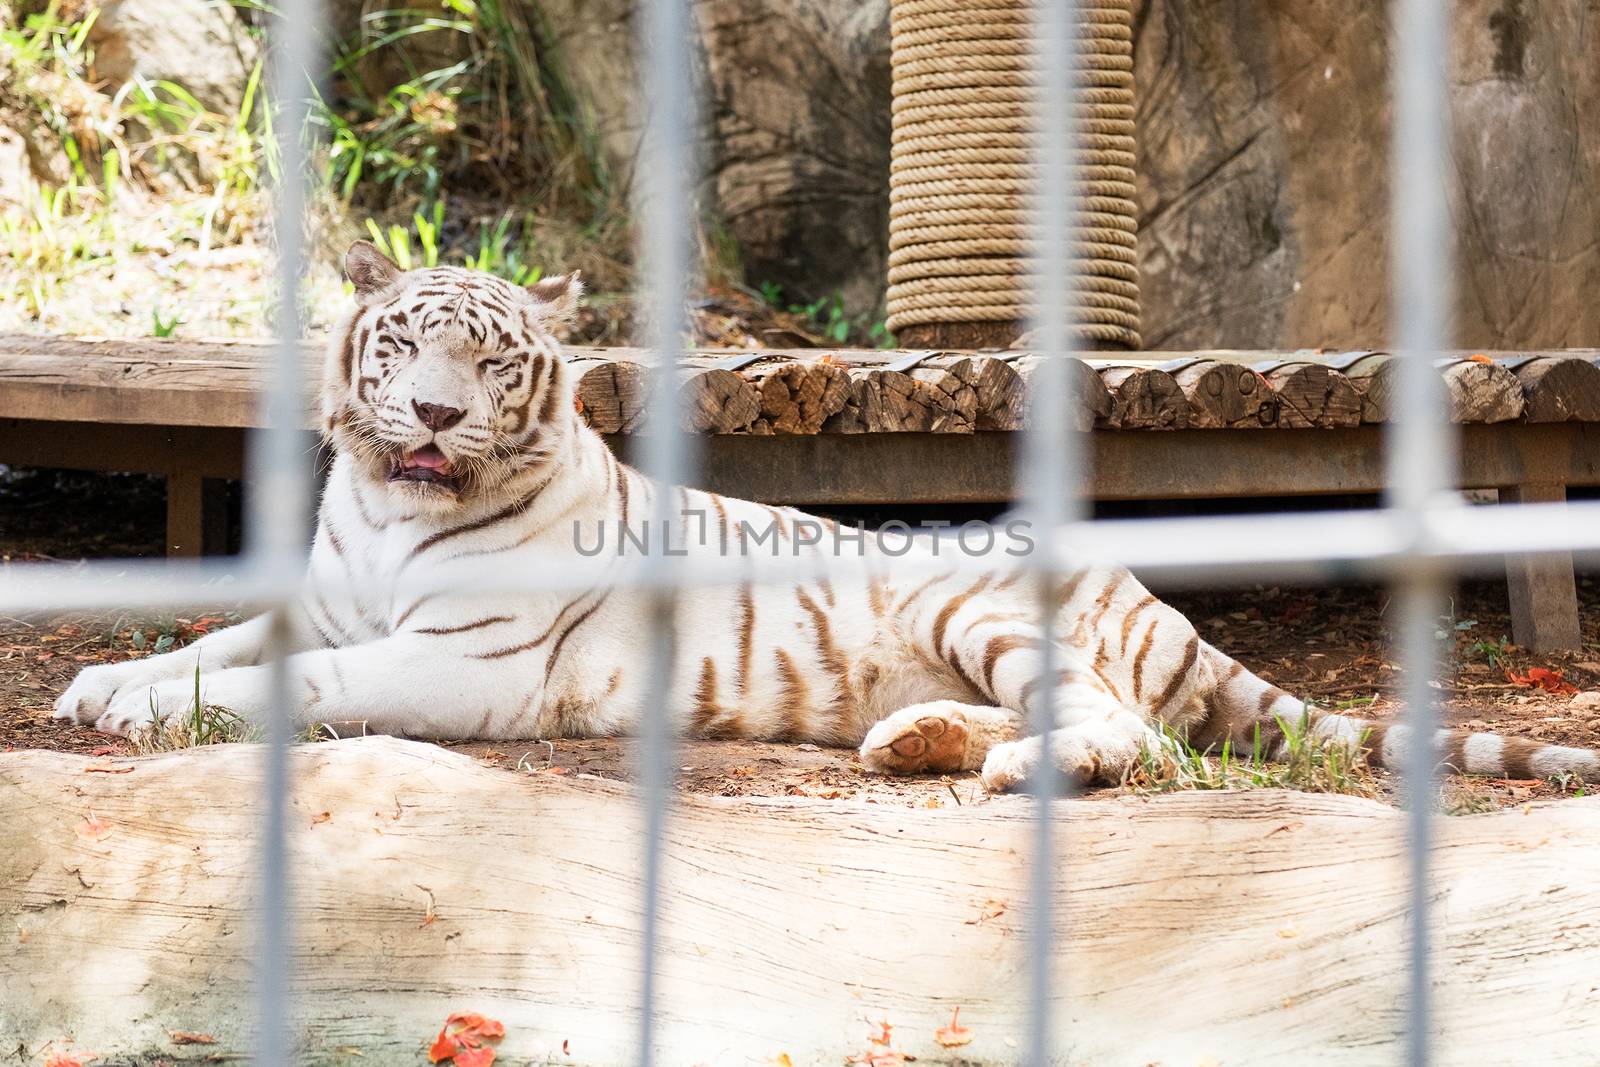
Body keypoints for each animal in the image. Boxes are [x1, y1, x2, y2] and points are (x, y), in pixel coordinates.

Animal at [53, 246, 1600, 790]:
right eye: (406, 346)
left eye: (489, 362)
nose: (431, 417)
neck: (385, 509)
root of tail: (1142, 589)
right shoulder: (319, 598)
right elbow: (215, 641)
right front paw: (100, 686)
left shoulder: (460, 663)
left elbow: (301, 683)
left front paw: (147, 711)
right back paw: (913, 737)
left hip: (982, 605)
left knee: (1130, 728)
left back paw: (1008, 766)